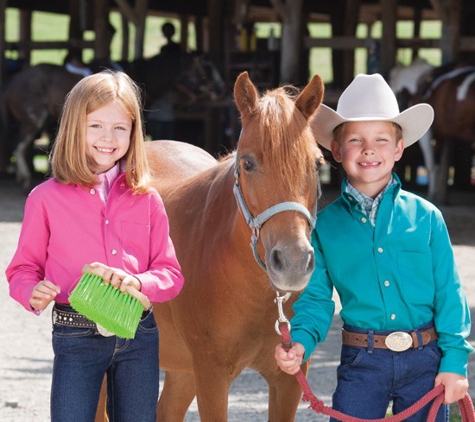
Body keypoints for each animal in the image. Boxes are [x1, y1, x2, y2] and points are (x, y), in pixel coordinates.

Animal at [0, 52, 226, 190]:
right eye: (206, 68)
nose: (220, 90)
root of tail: (13, 81)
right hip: (33, 121)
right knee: (19, 148)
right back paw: (25, 179)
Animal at [96, 71, 328, 420]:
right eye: (247, 163)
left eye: (316, 164)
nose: (293, 262)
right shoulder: (212, 376)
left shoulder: (289, 378)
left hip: (182, 370)